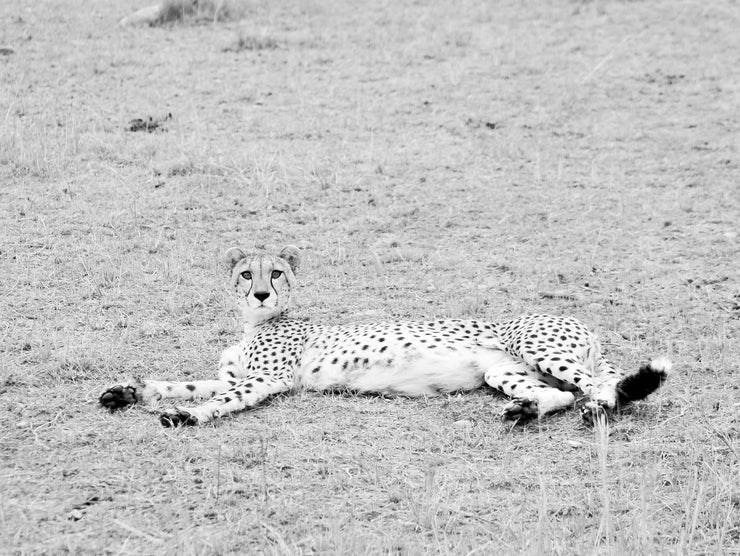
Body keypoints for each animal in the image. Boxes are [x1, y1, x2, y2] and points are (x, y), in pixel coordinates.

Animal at [101, 247, 672, 426]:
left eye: (277, 273)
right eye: (246, 274)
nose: (261, 294)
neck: (255, 324)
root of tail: (582, 323)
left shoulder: (265, 382)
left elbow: (218, 399)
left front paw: (186, 415)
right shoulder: (230, 373)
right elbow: (183, 382)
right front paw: (128, 391)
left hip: (538, 347)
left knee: (598, 386)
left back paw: (596, 410)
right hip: (503, 370)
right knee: (557, 394)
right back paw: (524, 411)